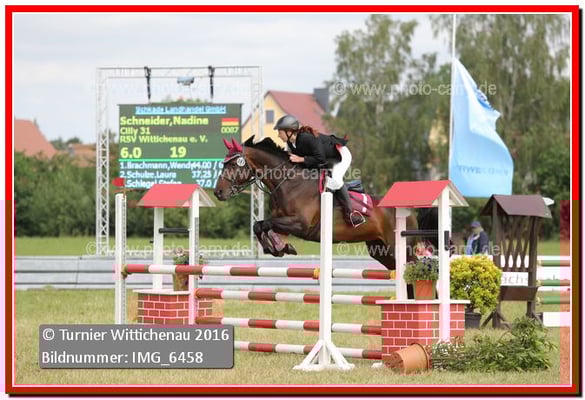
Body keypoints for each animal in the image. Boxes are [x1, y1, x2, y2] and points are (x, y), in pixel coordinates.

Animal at [213, 136, 436, 271]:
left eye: (233, 164)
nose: (218, 192)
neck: (288, 182)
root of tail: (409, 211)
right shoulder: (282, 222)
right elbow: (259, 225)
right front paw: (278, 248)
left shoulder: (300, 225)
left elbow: (264, 224)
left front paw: (280, 248)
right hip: (381, 251)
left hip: (401, 248)